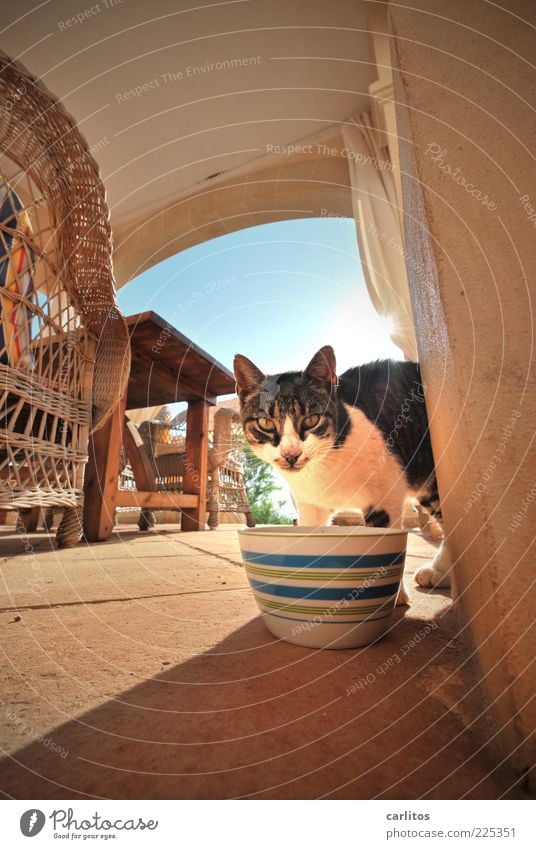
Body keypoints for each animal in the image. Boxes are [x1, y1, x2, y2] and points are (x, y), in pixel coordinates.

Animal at [232, 344, 450, 596]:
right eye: (265, 423)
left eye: (312, 419)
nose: (291, 454)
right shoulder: (310, 506)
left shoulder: (385, 497)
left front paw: (394, 598)